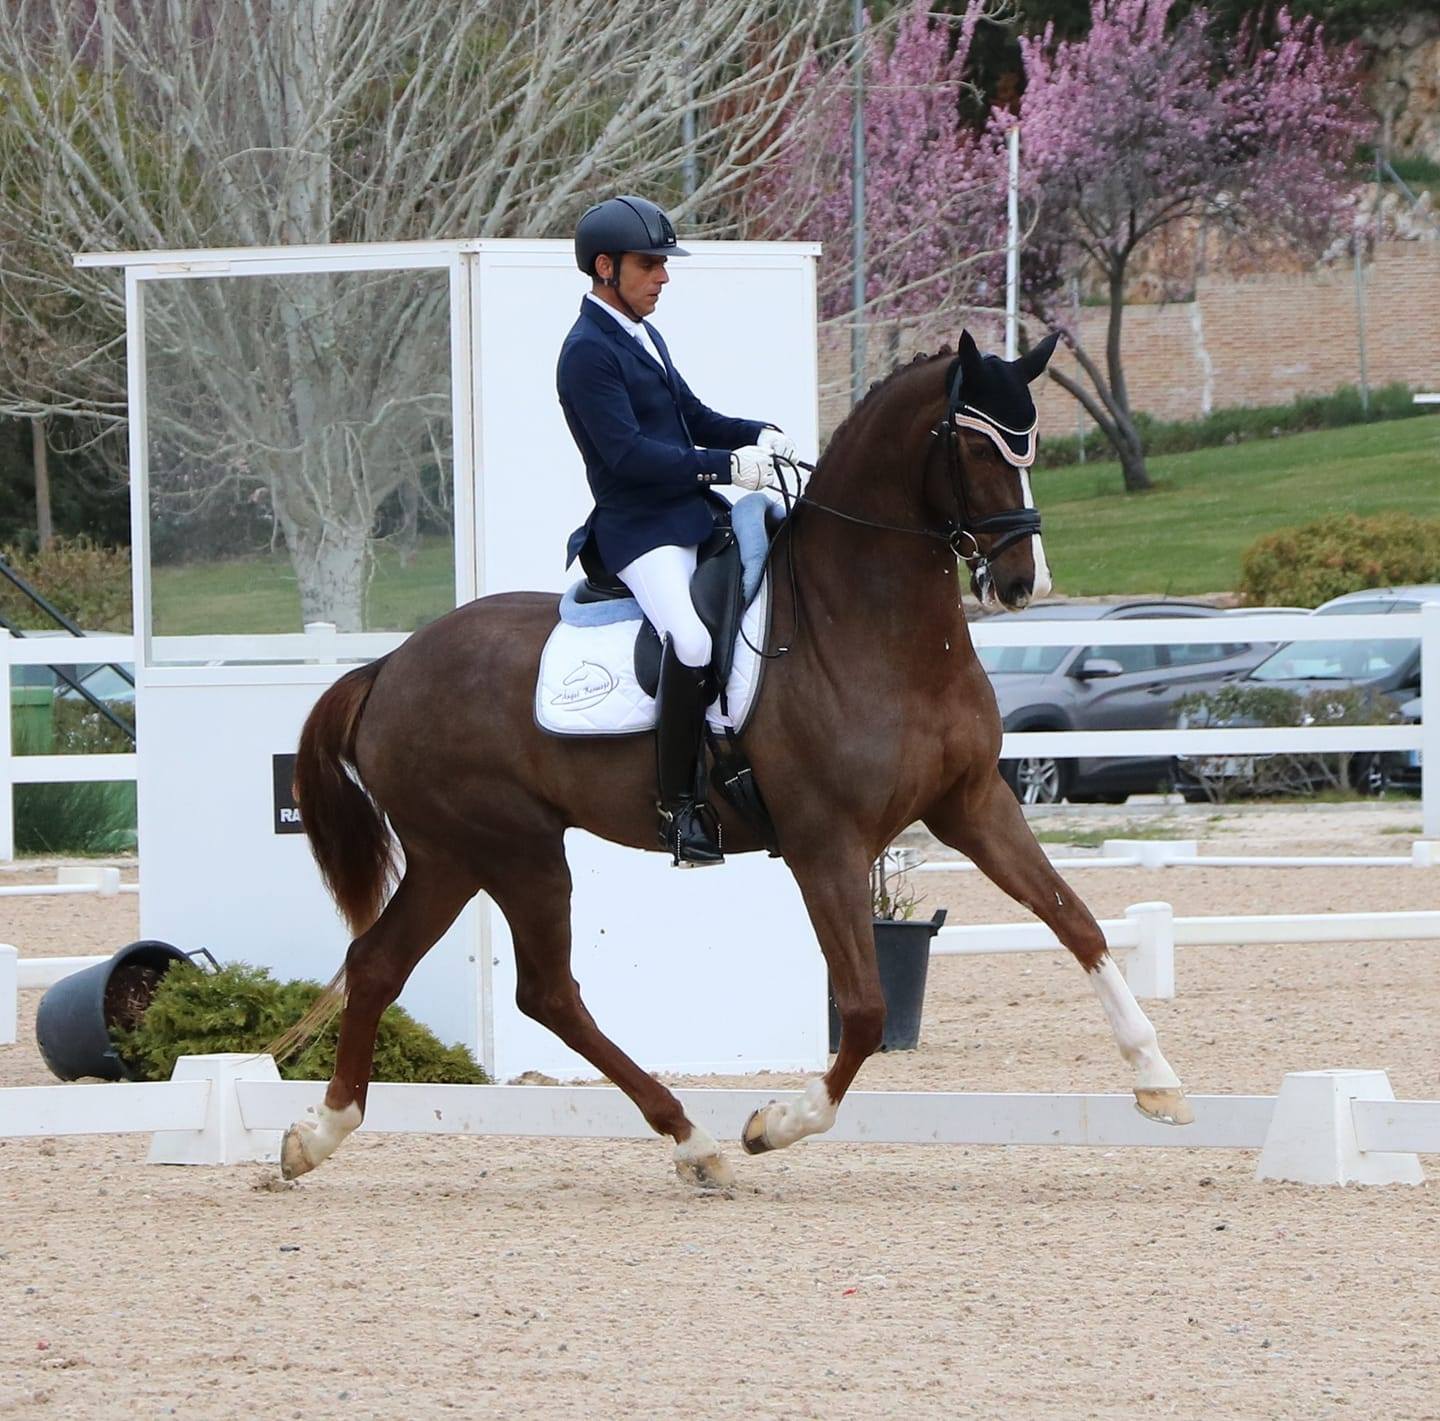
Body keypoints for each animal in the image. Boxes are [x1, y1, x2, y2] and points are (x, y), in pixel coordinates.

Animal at [280, 334, 1192, 1186]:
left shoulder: (972, 803)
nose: (1022, 582)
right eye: (974, 449)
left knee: (384, 965)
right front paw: (778, 1122)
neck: (873, 626)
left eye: (1030, 447)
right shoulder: (827, 843)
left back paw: (321, 1134)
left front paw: (1158, 1078)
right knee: (542, 989)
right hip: (514, 849)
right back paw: (697, 1139)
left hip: (455, 854)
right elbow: (866, 1008)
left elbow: (1077, 922)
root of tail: (387, 667)